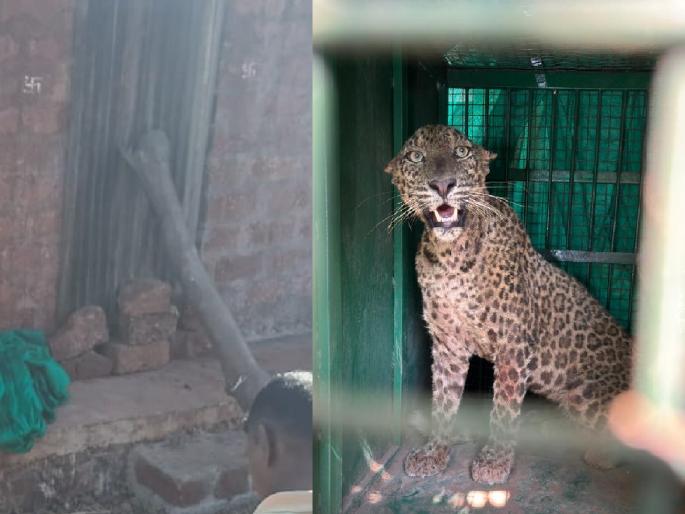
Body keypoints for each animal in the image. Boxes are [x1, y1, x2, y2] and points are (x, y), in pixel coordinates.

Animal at [383, 124, 632, 485]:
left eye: (461, 152)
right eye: (415, 156)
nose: (443, 185)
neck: (450, 258)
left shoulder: (513, 344)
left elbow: (503, 408)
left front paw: (494, 462)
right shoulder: (448, 344)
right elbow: (443, 400)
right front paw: (435, 451)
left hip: (583, 392)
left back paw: (602, 455)